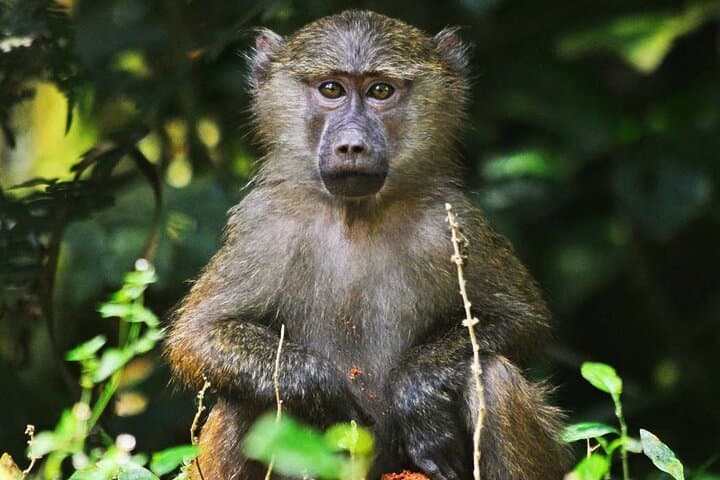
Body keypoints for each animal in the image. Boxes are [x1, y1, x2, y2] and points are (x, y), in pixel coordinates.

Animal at [165, 10, 571, 480]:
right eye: (331, 89)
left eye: (380, 91)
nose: (352, 146)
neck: (356, 215)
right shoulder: (263, 226)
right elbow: (199, 337)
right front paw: (319, 390)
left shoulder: (452, 221)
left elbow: (518, 320)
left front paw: (417, 392)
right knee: (246, 402)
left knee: (490, 374)